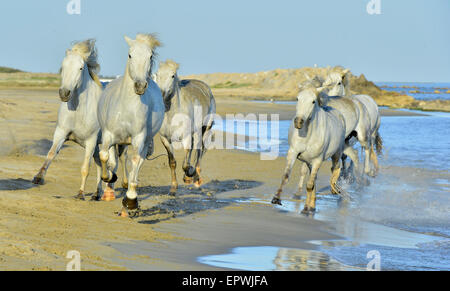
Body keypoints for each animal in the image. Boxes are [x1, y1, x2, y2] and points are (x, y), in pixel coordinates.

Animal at [33, 39, 103, 201]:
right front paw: (38, 178)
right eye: (63, 66)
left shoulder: (91, 141)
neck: (79, 111)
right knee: (101, 165)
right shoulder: (61, 133)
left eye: (81, 68)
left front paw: (80, 194)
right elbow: (51, 153)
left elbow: (85, 167)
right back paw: (97, 194)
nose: (64, 93)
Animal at [97, 33, 164, 217]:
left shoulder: (139, 137)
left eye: (150, 56)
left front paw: (131, 201)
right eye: (130, 55)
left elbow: (134, 161)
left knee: (135, 161)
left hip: (142, 142)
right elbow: (104, 156)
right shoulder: (109, 135)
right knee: (114, 159)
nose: (140, 86)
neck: (127, 106)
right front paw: (108, 177)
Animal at [155, 60, 216, 195]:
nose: (161, 94)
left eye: (173, 75)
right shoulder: (165, 139)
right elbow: (172, 162)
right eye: (157, 74)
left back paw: (196, 177)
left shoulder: (186, 137)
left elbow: (185, 164)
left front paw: (189, 174)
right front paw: (173, 188)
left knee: (199, 151)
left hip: (204, 130)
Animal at [270, 84, 348, 214]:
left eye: (313, 101)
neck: (308, 135)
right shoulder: (293, 153)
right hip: (308, 162)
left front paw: (306, 208)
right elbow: (286, 176)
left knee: (335, 168)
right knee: (314, 178)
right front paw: (276, 198)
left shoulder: (317, 160)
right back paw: (313, 205)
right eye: (297, 99)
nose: (298, 122)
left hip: (336, 153)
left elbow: (309, 186)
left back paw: (334, 189)